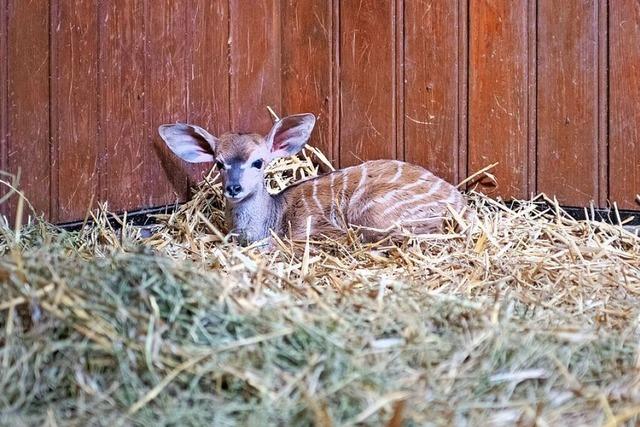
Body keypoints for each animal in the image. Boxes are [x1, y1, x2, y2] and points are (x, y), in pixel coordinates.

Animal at [158, 115, 468, 246]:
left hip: (373, 213)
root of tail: (461, 205)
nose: (234, 188)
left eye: (259, 162)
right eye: (219, 163)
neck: (272, 220)